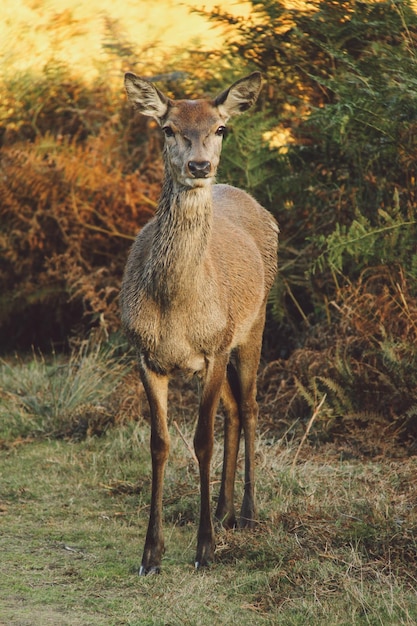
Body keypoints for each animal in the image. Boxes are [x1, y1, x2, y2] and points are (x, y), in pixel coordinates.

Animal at [118, 70, 278, 572]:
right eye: (168, 128)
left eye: (220, 127)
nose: (200, 166)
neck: (178, 310)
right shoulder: (146, 355)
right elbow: (160, 443)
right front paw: (151, 552)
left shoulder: (215, 346)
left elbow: (202, 441)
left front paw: (204, 549)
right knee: (233, 408)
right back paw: (224, 509)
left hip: (252, 325)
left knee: (250, 406)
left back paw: (246, 512)